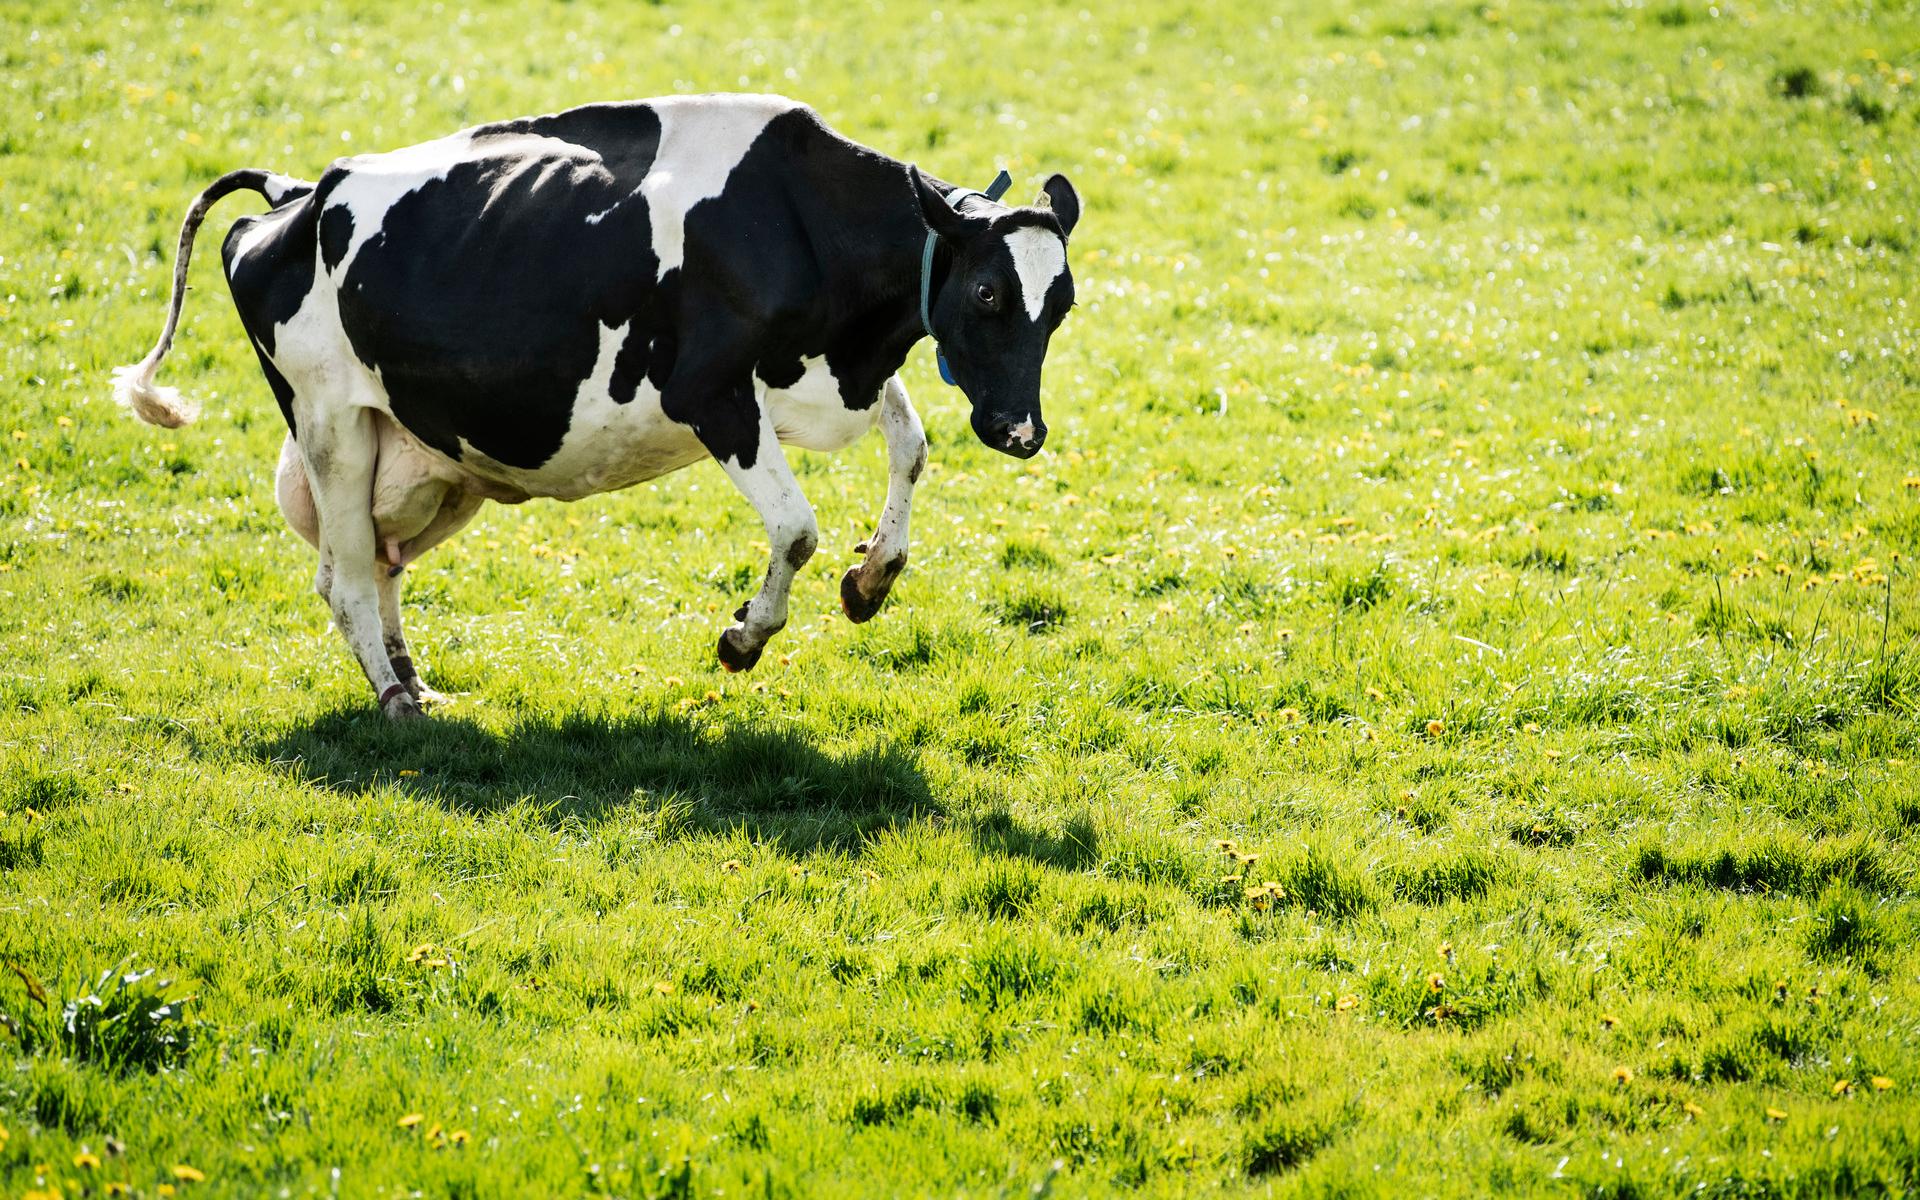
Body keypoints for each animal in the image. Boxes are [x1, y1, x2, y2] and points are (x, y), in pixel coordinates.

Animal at [112, 98, 1082, 714]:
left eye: (1063, 304)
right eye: (989, 293)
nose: (1020, 431)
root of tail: (297, 192)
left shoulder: (830, 377)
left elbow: (910, 447)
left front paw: (872, 579)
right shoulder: (712, 393)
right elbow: (797, 529)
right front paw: (744, 638)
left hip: (428, 456)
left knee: (377, 567)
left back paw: (414, 679)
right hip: (329, 424)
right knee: (344, 577)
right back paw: (395, 699)